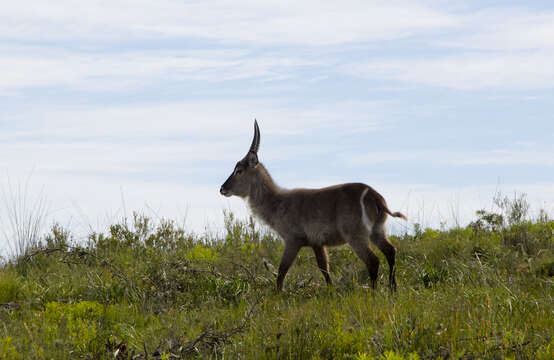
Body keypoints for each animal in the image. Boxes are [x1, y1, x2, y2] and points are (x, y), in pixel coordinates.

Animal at [220, 120, 406, 290]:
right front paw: (331, 292)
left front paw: (277, 296)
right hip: (377, 231)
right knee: (391, 252)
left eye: (239, 171)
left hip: (355, 236)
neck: (276, 202)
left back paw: (373, 293)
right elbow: (324, 269)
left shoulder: (293, 240)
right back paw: (393, 289)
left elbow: (281, 271)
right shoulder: (317, 243)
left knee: (373, 261)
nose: (222, 188)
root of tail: (374, 195)